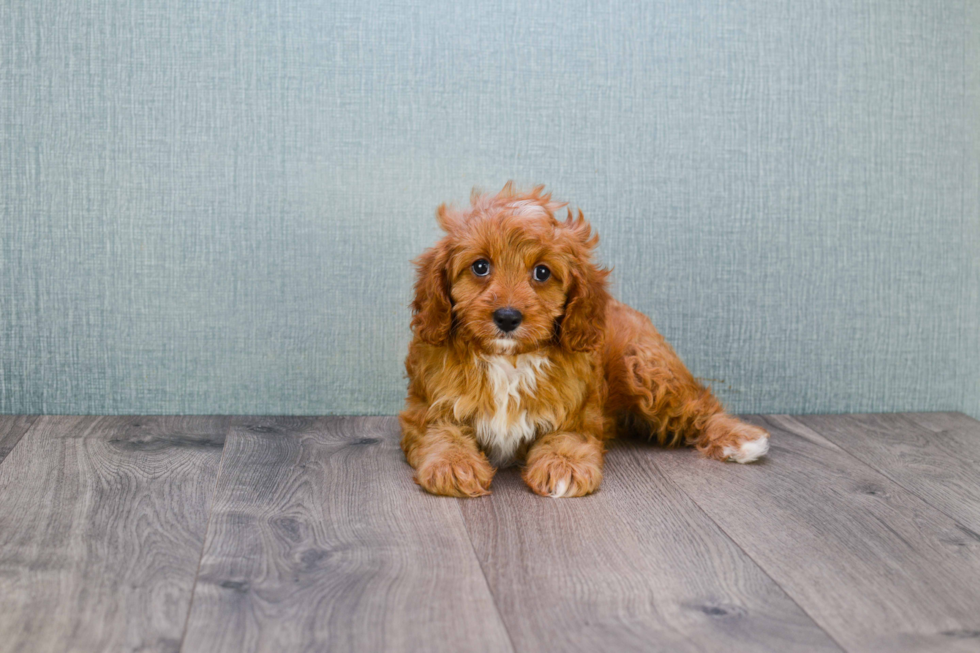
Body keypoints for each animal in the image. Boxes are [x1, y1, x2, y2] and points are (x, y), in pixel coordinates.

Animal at [396, 181, 764, 496]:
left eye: (542, 272)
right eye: (480, 267)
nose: (507, 317)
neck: (509, 360)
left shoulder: (579, 411)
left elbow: (568, 436)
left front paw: (563, 466)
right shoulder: (426, 409)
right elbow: (441, 433)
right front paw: (453, 464)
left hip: (647, 366)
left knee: (699, 403)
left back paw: (740, 439)